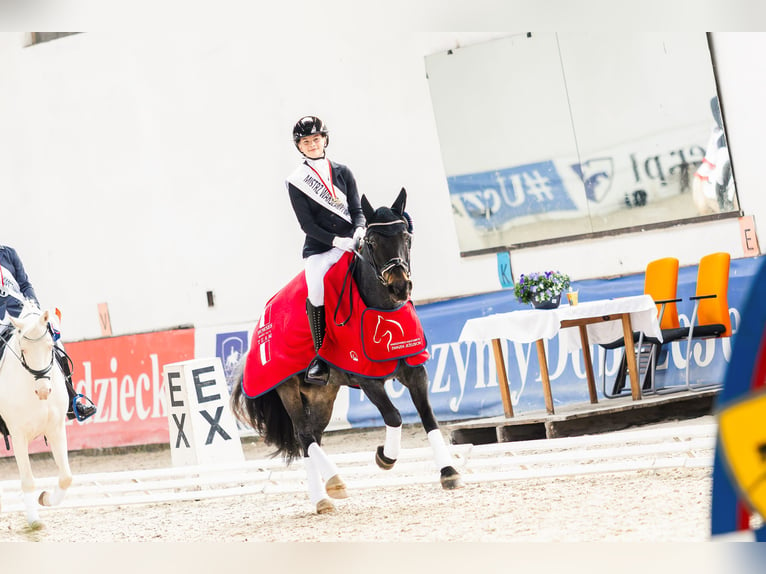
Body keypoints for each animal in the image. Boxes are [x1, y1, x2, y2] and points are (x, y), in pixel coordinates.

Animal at [231, 190, 464, 516]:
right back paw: (328, 489)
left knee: (312, 436)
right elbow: (394, 417)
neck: (382, 308)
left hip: (322, 394)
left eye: (407, 237)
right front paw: (385, 457)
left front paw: (448, 472)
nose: (400, 287)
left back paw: (327, 491)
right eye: (372, 242)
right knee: (304, 435)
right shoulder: (367, 380)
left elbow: (429, 416)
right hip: (287, 387)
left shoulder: (416, 370)